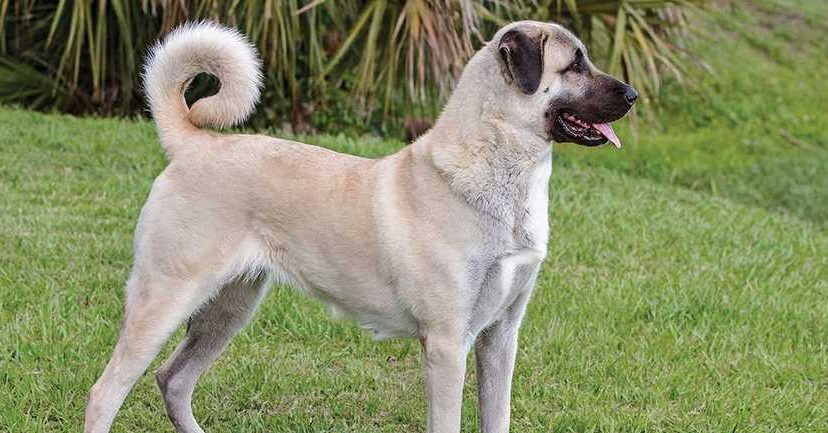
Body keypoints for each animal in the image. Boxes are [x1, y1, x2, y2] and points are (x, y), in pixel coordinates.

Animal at [84, 19, 636, 432]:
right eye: (575, 64)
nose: (632, 95)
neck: (496, 170)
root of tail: (194, 143)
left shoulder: (500, 338)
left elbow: (496, 418)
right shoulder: (446, 346)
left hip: (229, 308)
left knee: (173, 380)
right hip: (165, 300)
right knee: (105, 393)